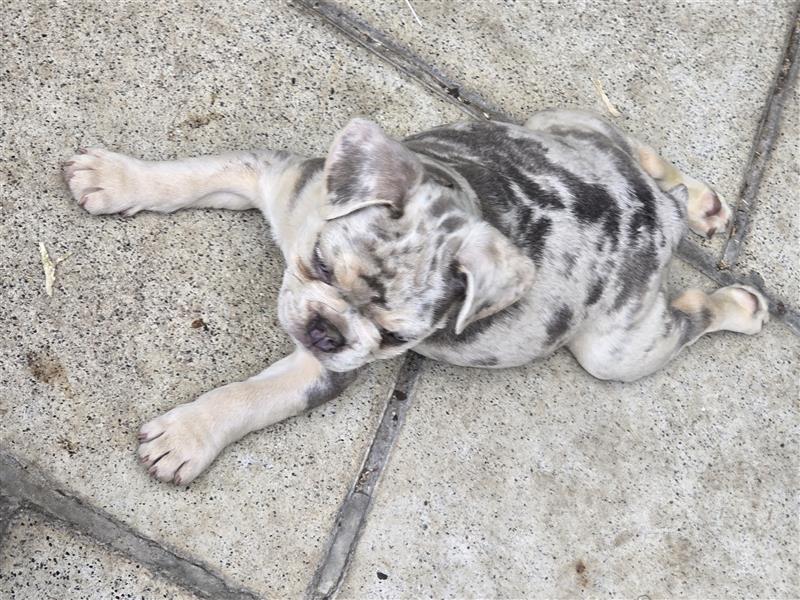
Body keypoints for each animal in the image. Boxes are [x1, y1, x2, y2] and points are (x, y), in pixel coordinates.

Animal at [64, 109, 768, 482]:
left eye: (396, 339)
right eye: (320, 264)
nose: (327, 331)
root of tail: (656, 217)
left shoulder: (322, 369)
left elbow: (250, 397)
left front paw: (188, 436)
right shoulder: (271, 176)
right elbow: (188, 173)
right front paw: (118, 178)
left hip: (618, 350)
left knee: (690, 316)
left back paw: (741, 303)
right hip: (559, 125)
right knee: (637, 148)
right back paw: (702, 201)